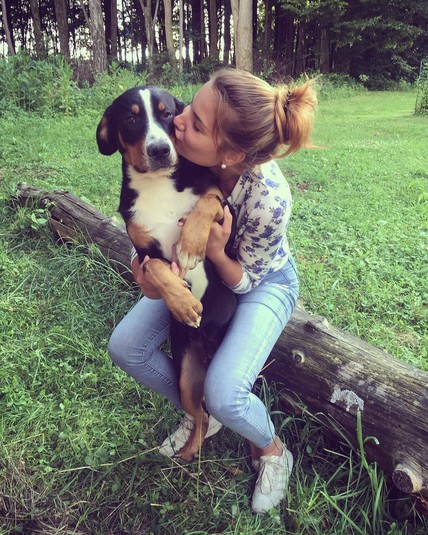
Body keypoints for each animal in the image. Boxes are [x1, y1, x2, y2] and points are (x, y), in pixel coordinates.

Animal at [96, 86, 236, 462]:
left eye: (167, 113)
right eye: (130, 118)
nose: (159, 149)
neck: (158, 186)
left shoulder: (220, 201)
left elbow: (205, 203)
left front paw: (190, 244)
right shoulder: (144, 253)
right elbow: (159, 270)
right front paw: (184, 304)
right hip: (187, 372)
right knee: (200, 414)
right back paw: (187, 452)